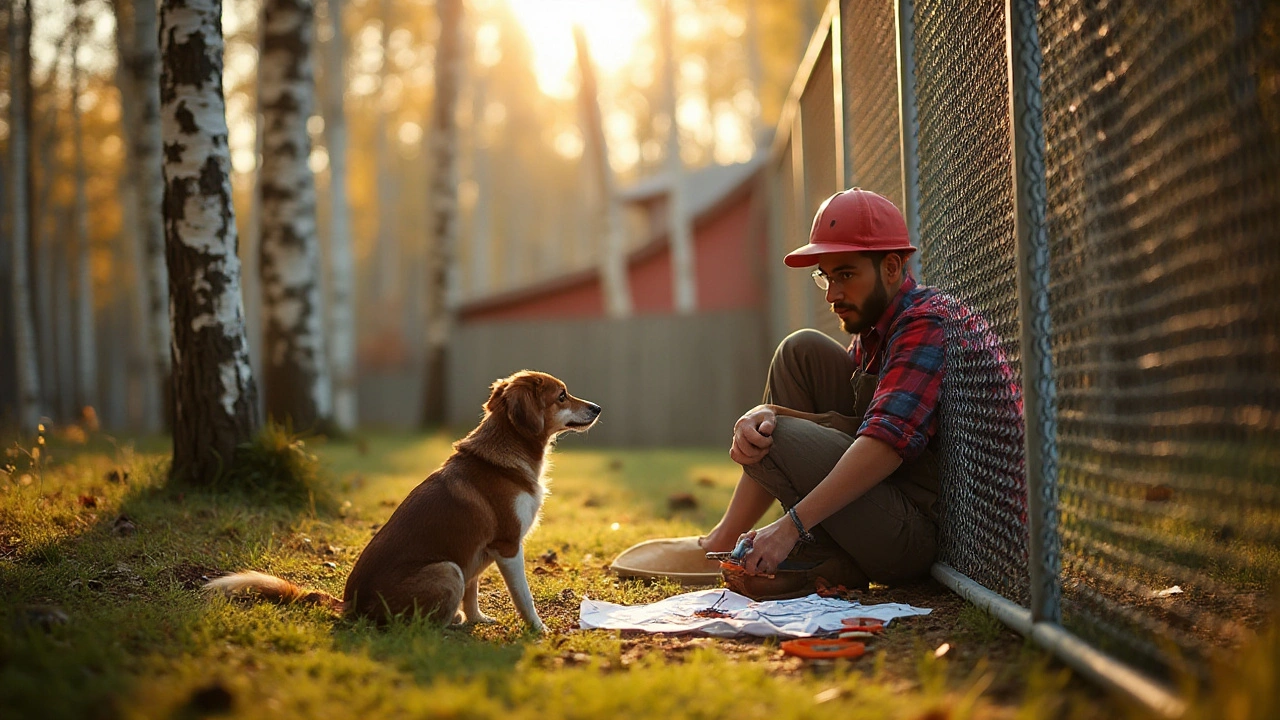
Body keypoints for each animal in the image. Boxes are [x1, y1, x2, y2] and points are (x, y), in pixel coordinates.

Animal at [203, 368, 599, 627]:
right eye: (561, 395)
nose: (597, 408)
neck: (507, 454)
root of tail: (350, 605)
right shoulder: (507, 546)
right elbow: (524, 597)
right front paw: (537, 629)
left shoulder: (478, 553)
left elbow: (474, 592)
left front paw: (479, 619)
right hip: (447, 569)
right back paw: (452, 622)